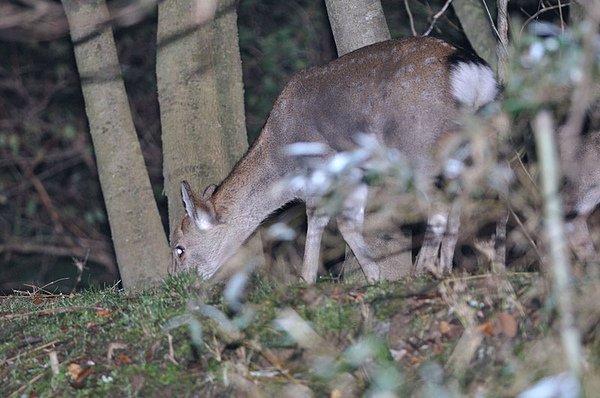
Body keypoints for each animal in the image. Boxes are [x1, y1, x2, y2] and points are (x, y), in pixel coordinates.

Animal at [171, 35, 500, 282]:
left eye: (179, 248)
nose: (177, 285)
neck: (283, 166)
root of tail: (471, 72)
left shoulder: (324, 167)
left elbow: (324, 219)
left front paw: (307, 280)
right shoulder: (357, 174)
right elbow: (347, 222)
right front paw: (374, 277)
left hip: (418, 146)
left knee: (439, 204)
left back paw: (422, 271)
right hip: (471, 142)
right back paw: (450, 268)